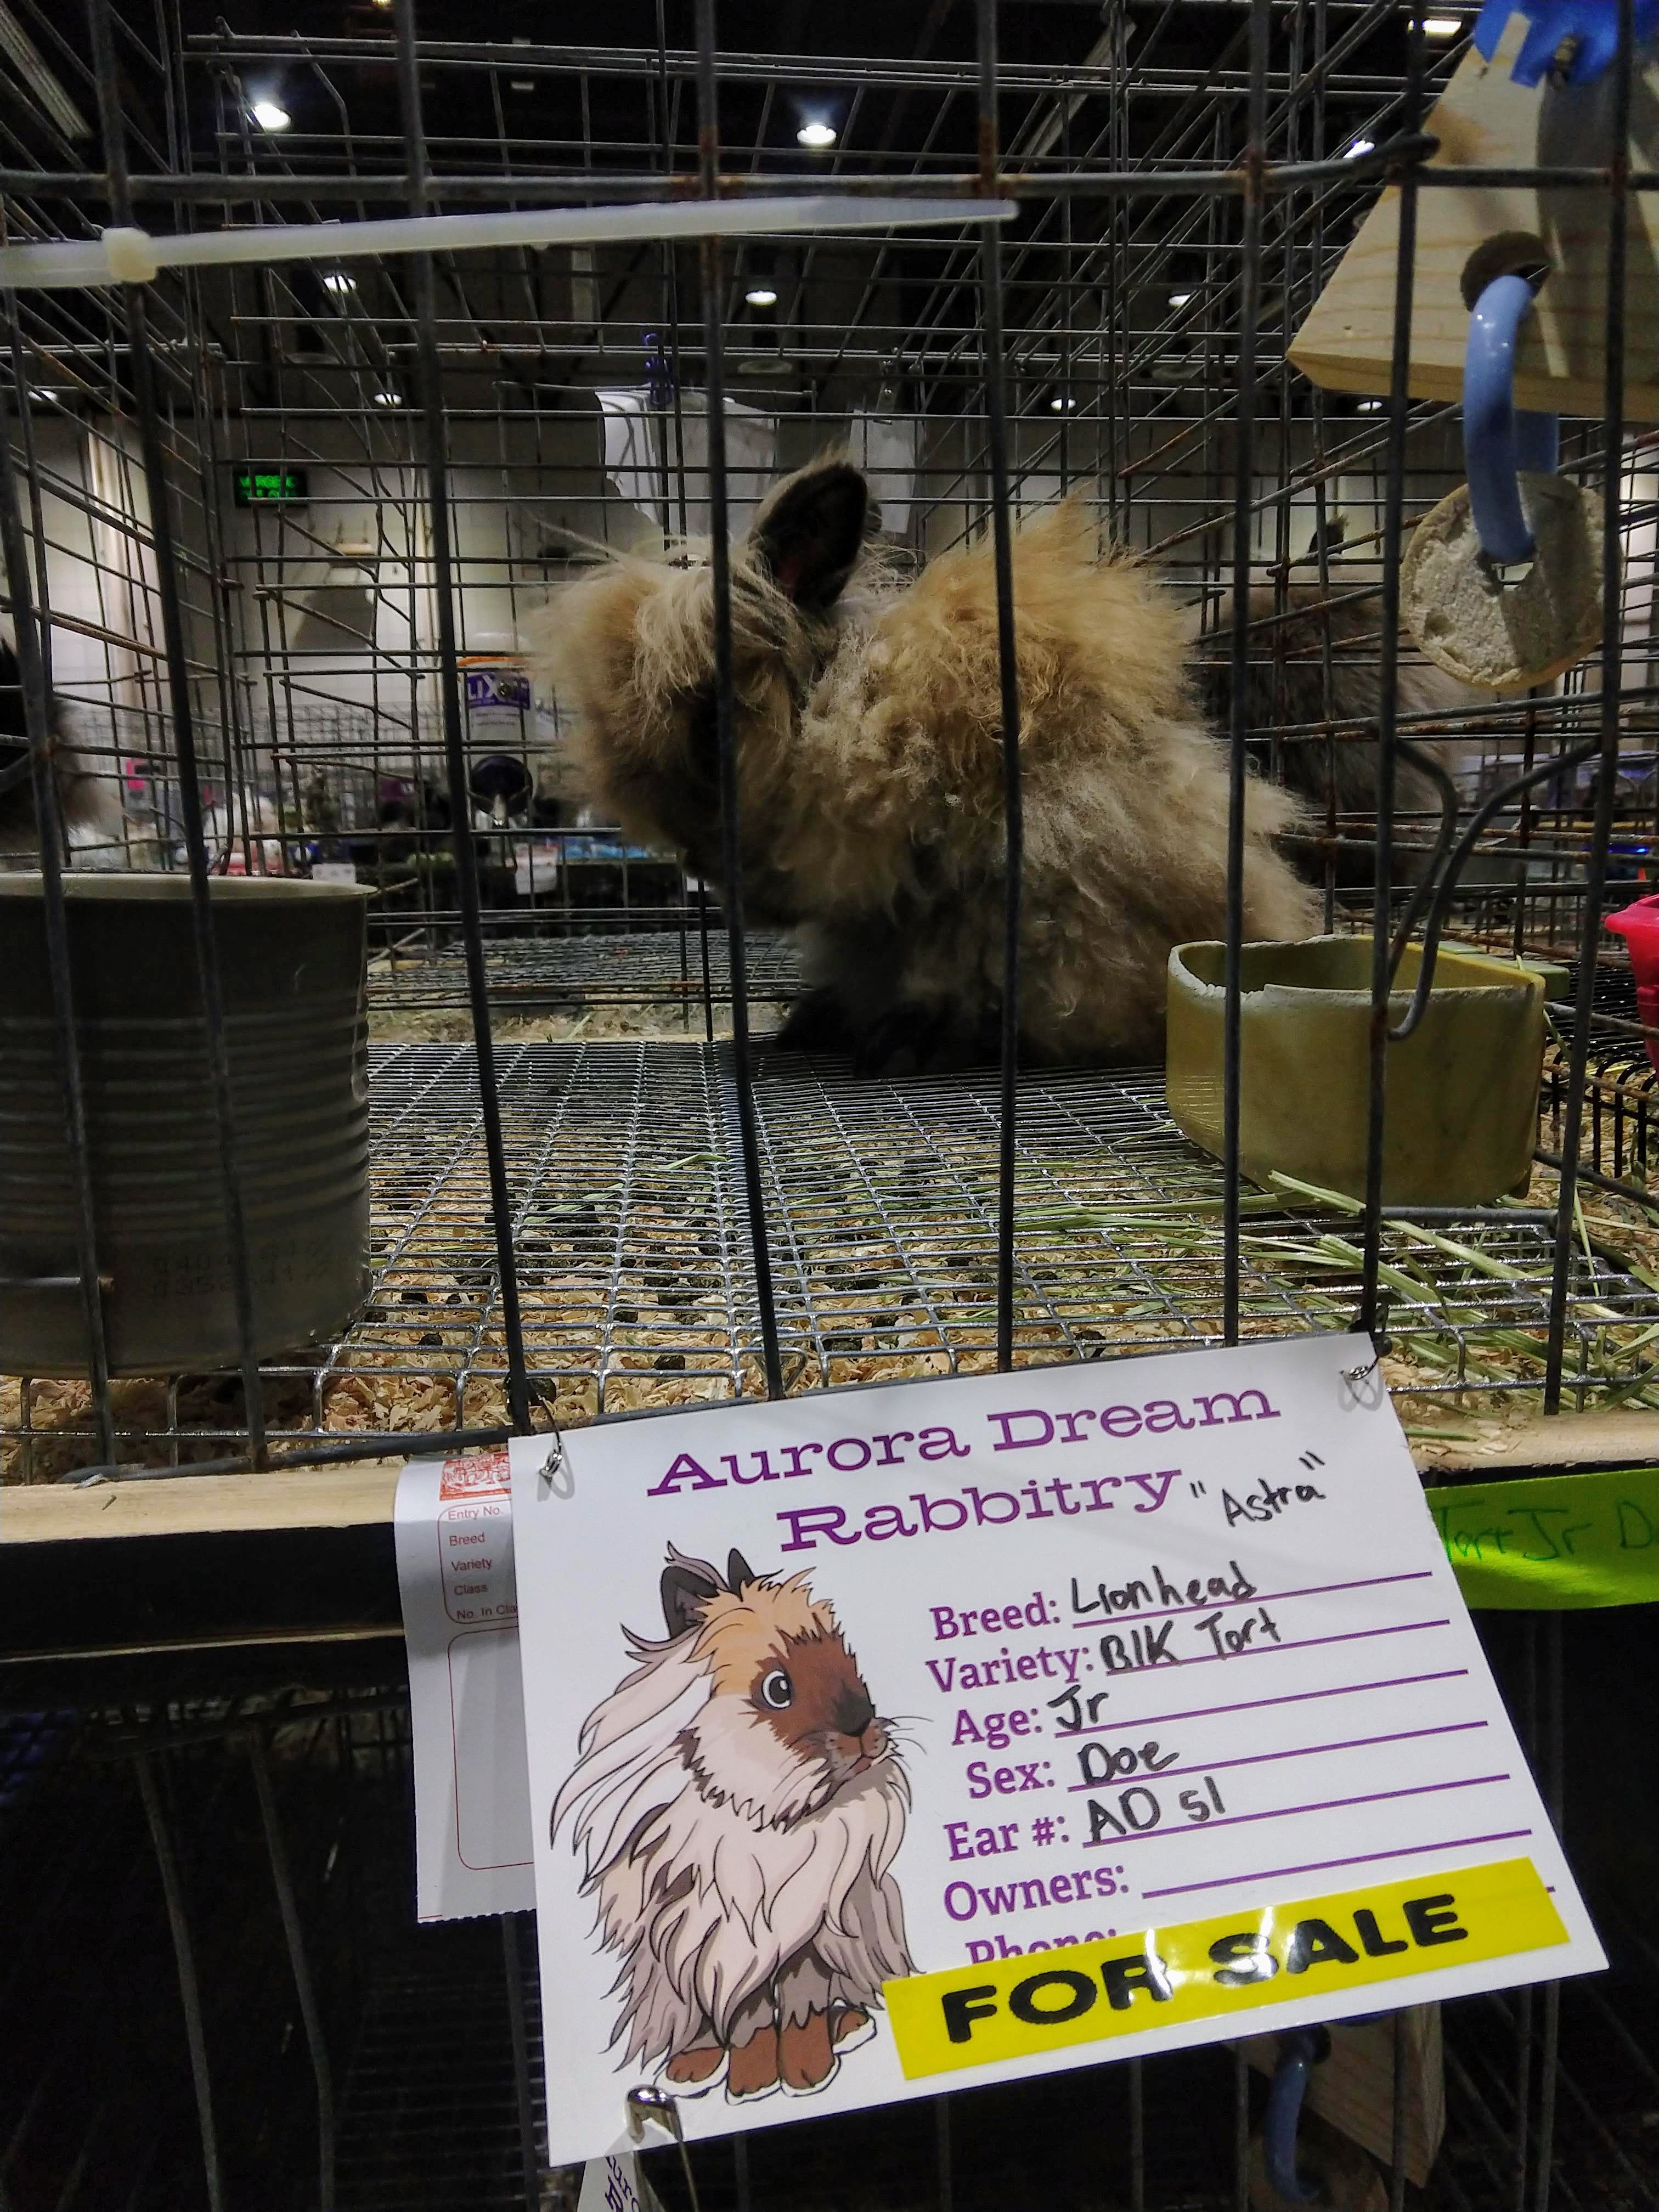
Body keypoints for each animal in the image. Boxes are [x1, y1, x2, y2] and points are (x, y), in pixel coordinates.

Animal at [560, 1548, 924, 2097]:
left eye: (848, 1657)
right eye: (778, 1688)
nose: (863, 1728)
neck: (764, 1817)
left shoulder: (804, 1939)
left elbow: (801, 2008)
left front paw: (806, 2074)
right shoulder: (707, 1944)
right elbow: (749, 2022)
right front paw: (751, 2083)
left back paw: (849, 2026)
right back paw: (690, 2069)